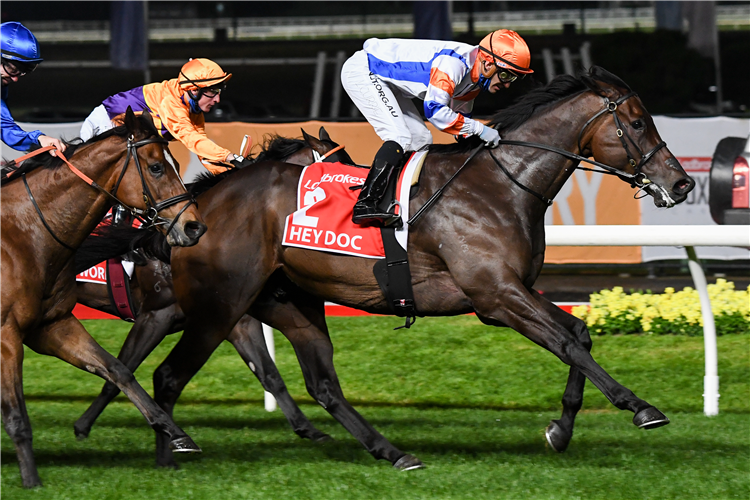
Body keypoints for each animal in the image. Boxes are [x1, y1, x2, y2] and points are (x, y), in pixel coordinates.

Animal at [0, 109, 206, 488]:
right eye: (156, 166)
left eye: (175, 162)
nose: (194, 227)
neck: (24, 233)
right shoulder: (7, 335)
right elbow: (17, 414)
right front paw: (31, 480)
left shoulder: (52, 325)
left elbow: (118, 369)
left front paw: (175, 433)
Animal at [72, 128, 350, 442]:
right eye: (341, 174)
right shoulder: (155, 314)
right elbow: (120, 370)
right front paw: (84, 425)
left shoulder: (234, 319)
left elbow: (269, 373)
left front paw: (308, 428)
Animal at [134, 69, 700, 468]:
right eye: (638, 122)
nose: (683, 183)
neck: (501, 185)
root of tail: (193, 208)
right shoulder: (496, 295)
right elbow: (565, 342)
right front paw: (640, 406)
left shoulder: (511, 291)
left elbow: (578, 335)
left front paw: (560, 431)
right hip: (220, 305)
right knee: (168, 374)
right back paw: (170, 455)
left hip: (288, 301)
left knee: (323, 385)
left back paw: (393, 452)